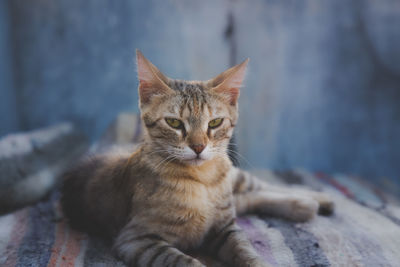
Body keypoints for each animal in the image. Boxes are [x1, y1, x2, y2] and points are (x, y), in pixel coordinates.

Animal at [61, 50, 332, 267]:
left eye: (215, 122)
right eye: (173, 123)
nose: (199, 146)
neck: (202, 182)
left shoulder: (225, 228)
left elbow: (245, 249)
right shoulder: (137, 239)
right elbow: (186, 262)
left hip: (234, 176)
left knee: (261, 187)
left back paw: (315, 199)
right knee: (248, 198)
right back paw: (305, 206)